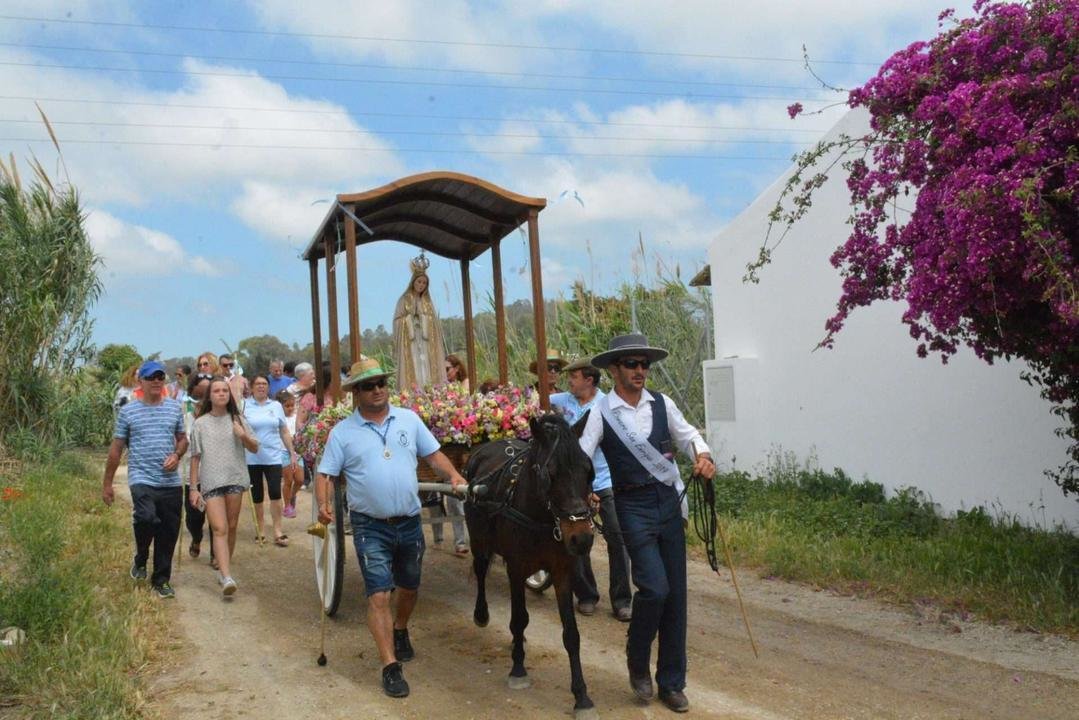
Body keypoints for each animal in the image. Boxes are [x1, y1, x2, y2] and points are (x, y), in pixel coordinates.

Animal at [463, 414, 599, 716]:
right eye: (550, 473)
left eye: (589, 471)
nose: (582, 538)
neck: (542, 517)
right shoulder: (515, 568)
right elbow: (519, 618)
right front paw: (518, 669)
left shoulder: (562, 572)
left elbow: (571, 634)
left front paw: (582, 696)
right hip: (478, 538)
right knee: (480, 570)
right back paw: (481, 614)